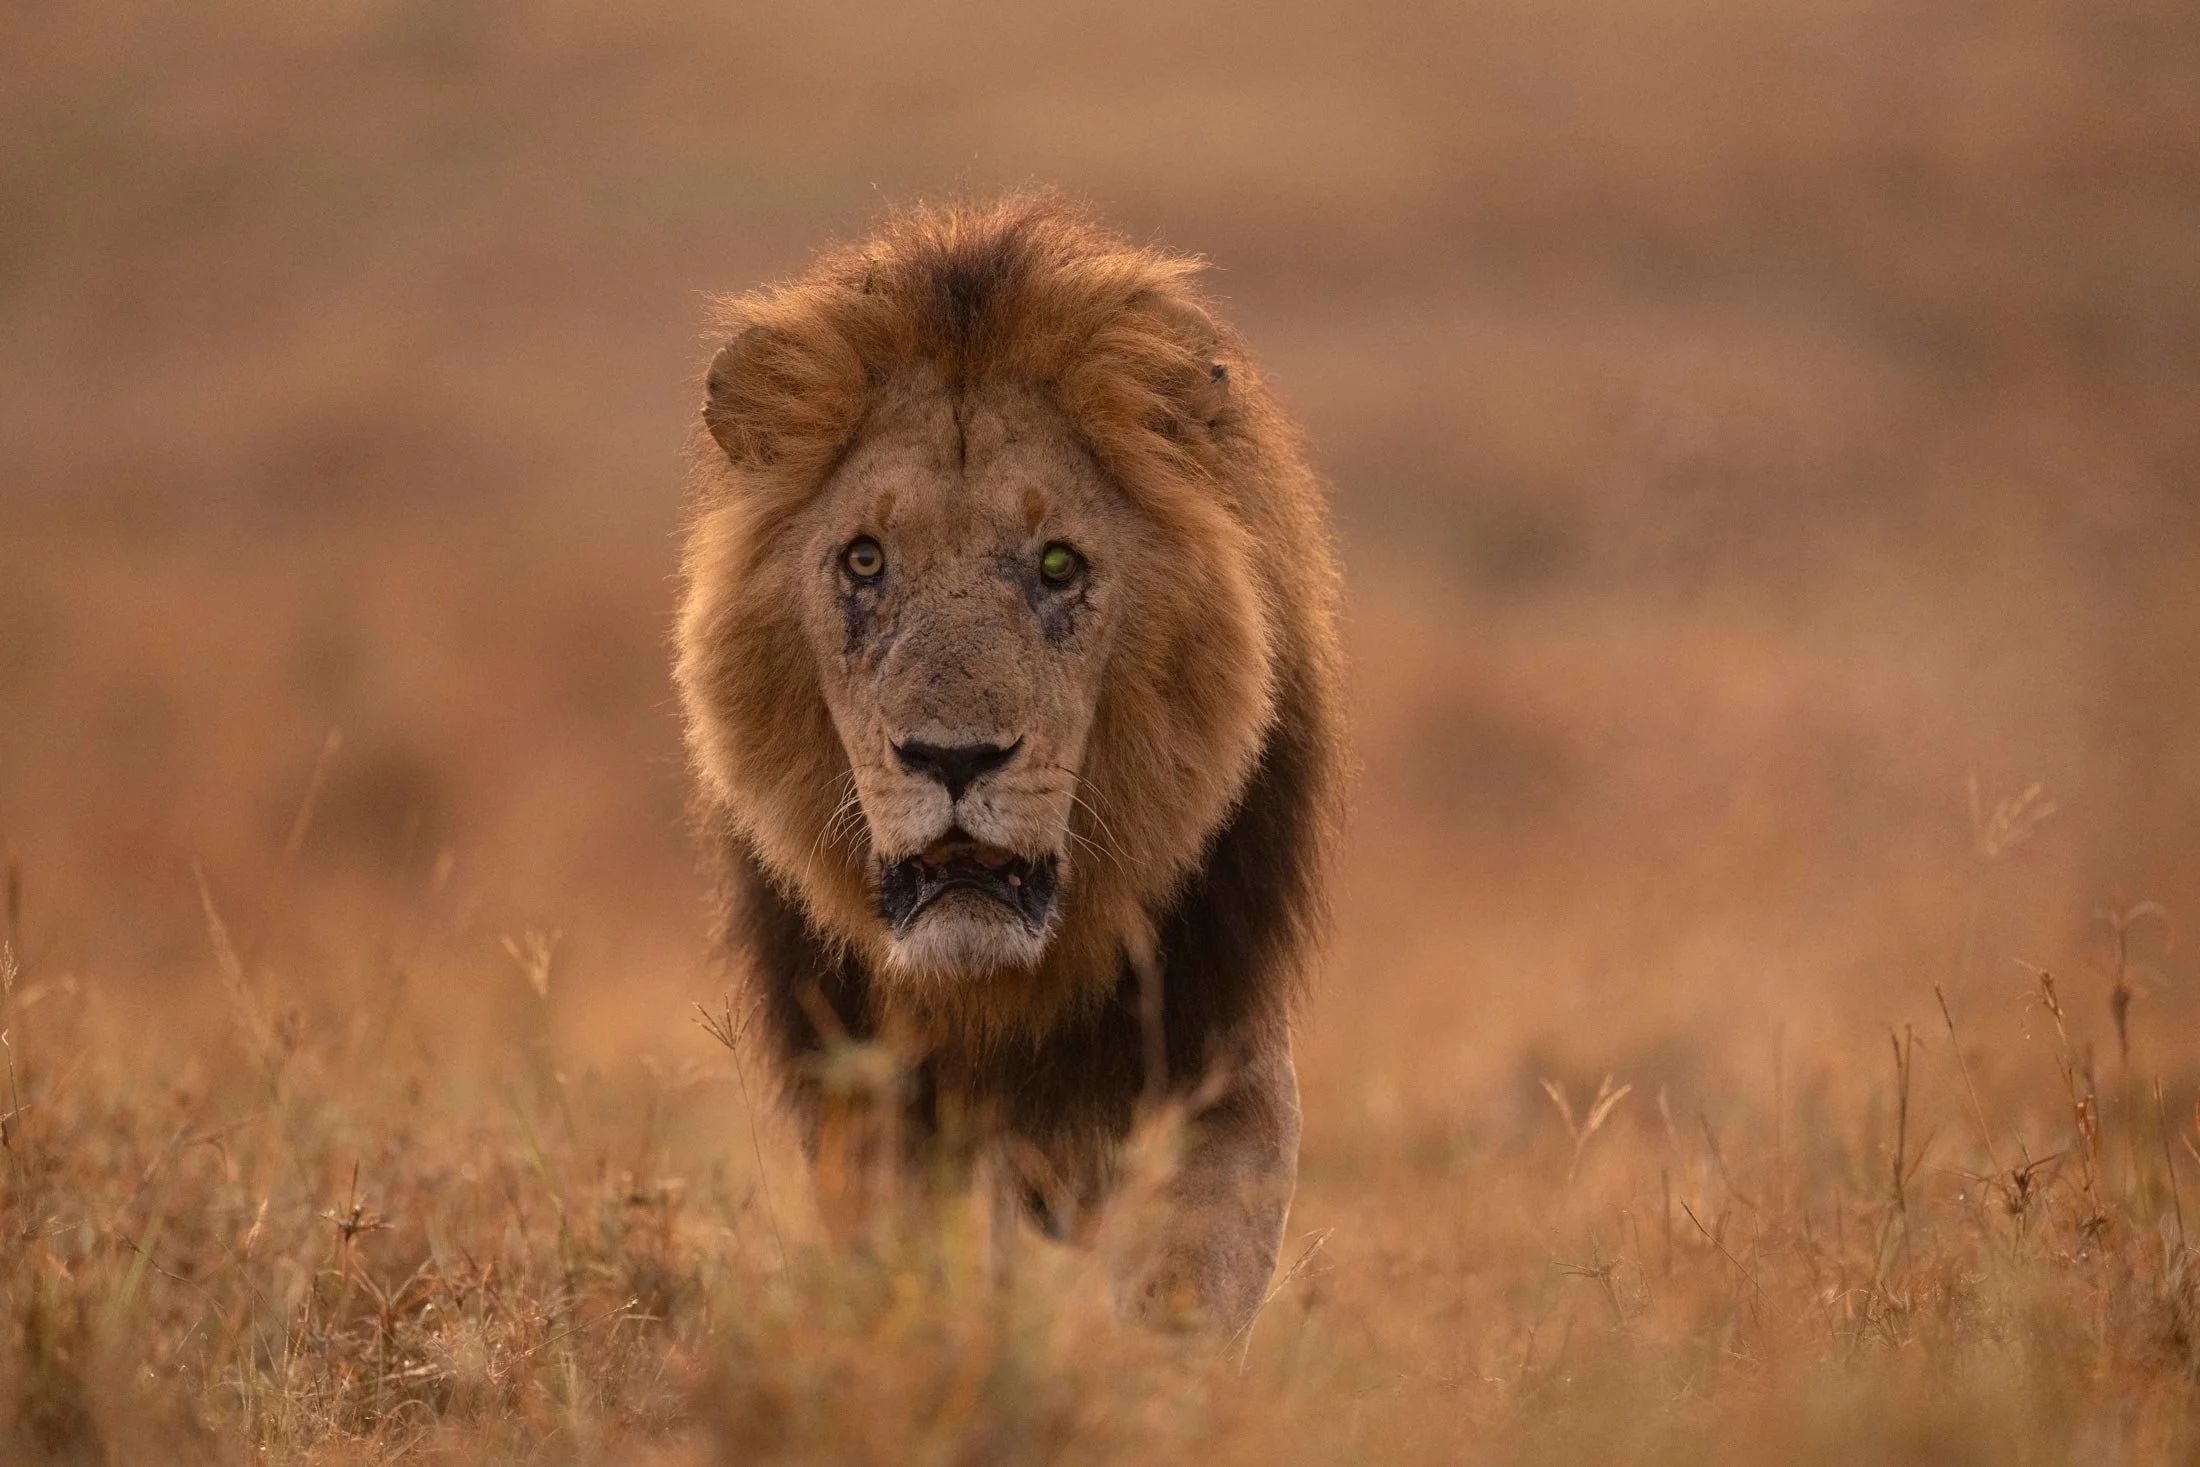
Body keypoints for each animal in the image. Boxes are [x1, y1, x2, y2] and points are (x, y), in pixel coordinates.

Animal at [673, 194, 1344, 1334]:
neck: (1003, 988)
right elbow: (928, 1267)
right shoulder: (880, 1102)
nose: (952, 758)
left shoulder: (1222, 1059)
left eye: (1058, 564)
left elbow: (1183, 1288)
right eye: (865, 560)